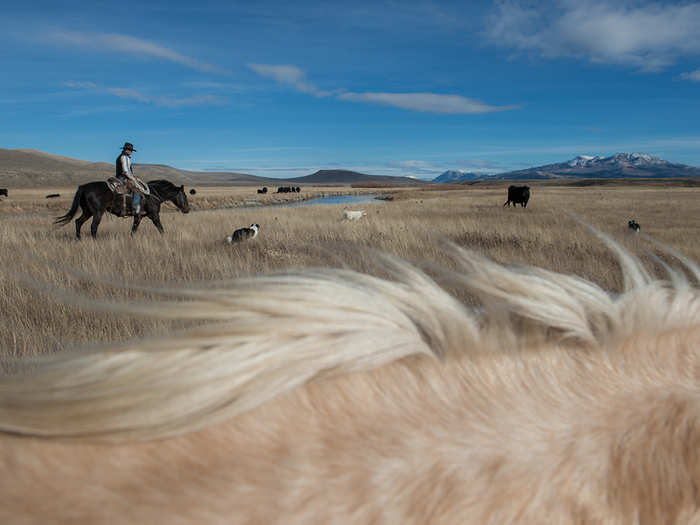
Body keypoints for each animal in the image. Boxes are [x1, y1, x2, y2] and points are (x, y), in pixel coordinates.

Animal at [55, 179, 190, 238]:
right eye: (185, 196)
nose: (187, 210)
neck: (153, 194)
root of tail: (83, 187)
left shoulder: (139, 216)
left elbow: (134, 230)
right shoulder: (154, 215)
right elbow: (161, 228)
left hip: (88, 212)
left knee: (78, 222)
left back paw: (78, 239)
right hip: (97, 213)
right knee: (93, 227)